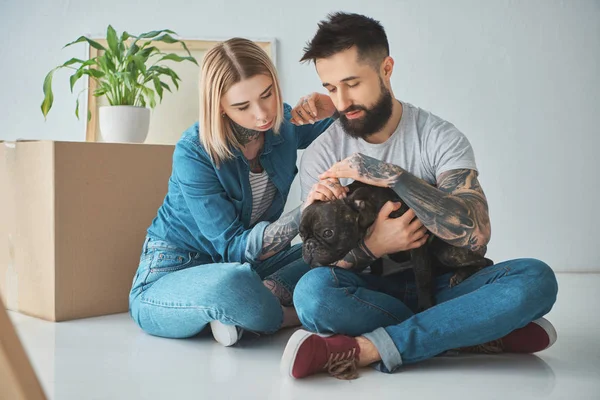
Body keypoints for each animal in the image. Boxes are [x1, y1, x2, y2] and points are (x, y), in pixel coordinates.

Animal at [300, 181, 492, 312]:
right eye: (301, 235)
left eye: (328, 233)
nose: (309, 245)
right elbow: (376, 265)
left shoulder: (417, 244)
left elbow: (422, 277)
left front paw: (425, 305)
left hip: (447, 252)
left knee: (486, 262)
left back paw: (460, 275)